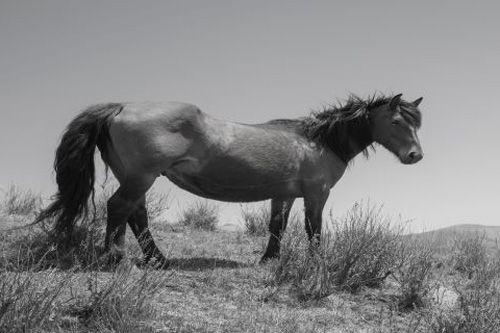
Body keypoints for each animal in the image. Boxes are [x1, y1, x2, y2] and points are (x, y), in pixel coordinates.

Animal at [37, 92, 424, 266]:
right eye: (396, 122)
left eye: (416, 122)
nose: (415, 156)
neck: (317, 140)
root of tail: (120, 107)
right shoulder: (317, 193)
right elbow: (313, 229)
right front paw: (316, 263)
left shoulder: (283, 194)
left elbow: (277, 226)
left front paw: (269, 259)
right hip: (141, 176)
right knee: (120, 208)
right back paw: (114, 258)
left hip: (135, 177)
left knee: (136, 214)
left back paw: (158, 259)